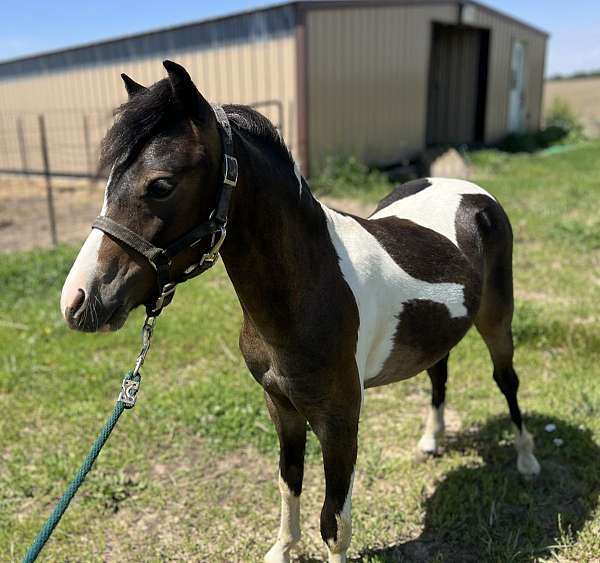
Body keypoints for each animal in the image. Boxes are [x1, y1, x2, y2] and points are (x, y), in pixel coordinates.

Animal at [59, 59, 540, 560]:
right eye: (109, 181)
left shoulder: (340, 421)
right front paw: (281, 548)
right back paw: (432, 440)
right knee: (438, 372)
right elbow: (288, 481)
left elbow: (334, 519)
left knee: (506, 380)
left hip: (497, 320)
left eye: (161, 185)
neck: (310, 290)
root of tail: (468, 190)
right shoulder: (281, 406)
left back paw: (527, 460)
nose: (79, 300)